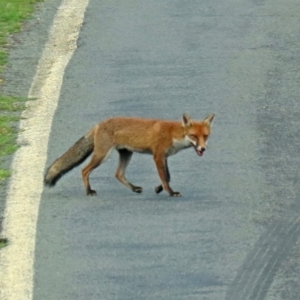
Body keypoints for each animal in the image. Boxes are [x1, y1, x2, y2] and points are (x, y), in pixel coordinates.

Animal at [44, 113, 213, 197]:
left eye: (205, 136)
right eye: (194, 136)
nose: (203, 148)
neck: (173, 134)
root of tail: (98, 124)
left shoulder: (164, 157)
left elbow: (168, 176)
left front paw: (158, 189)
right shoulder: (158, 156)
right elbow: (165, 178)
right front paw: (170, 192)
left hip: (126, 154)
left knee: (118, 174)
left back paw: (134, 188)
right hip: (102, 156)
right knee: (84, 170)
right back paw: (89, 191)